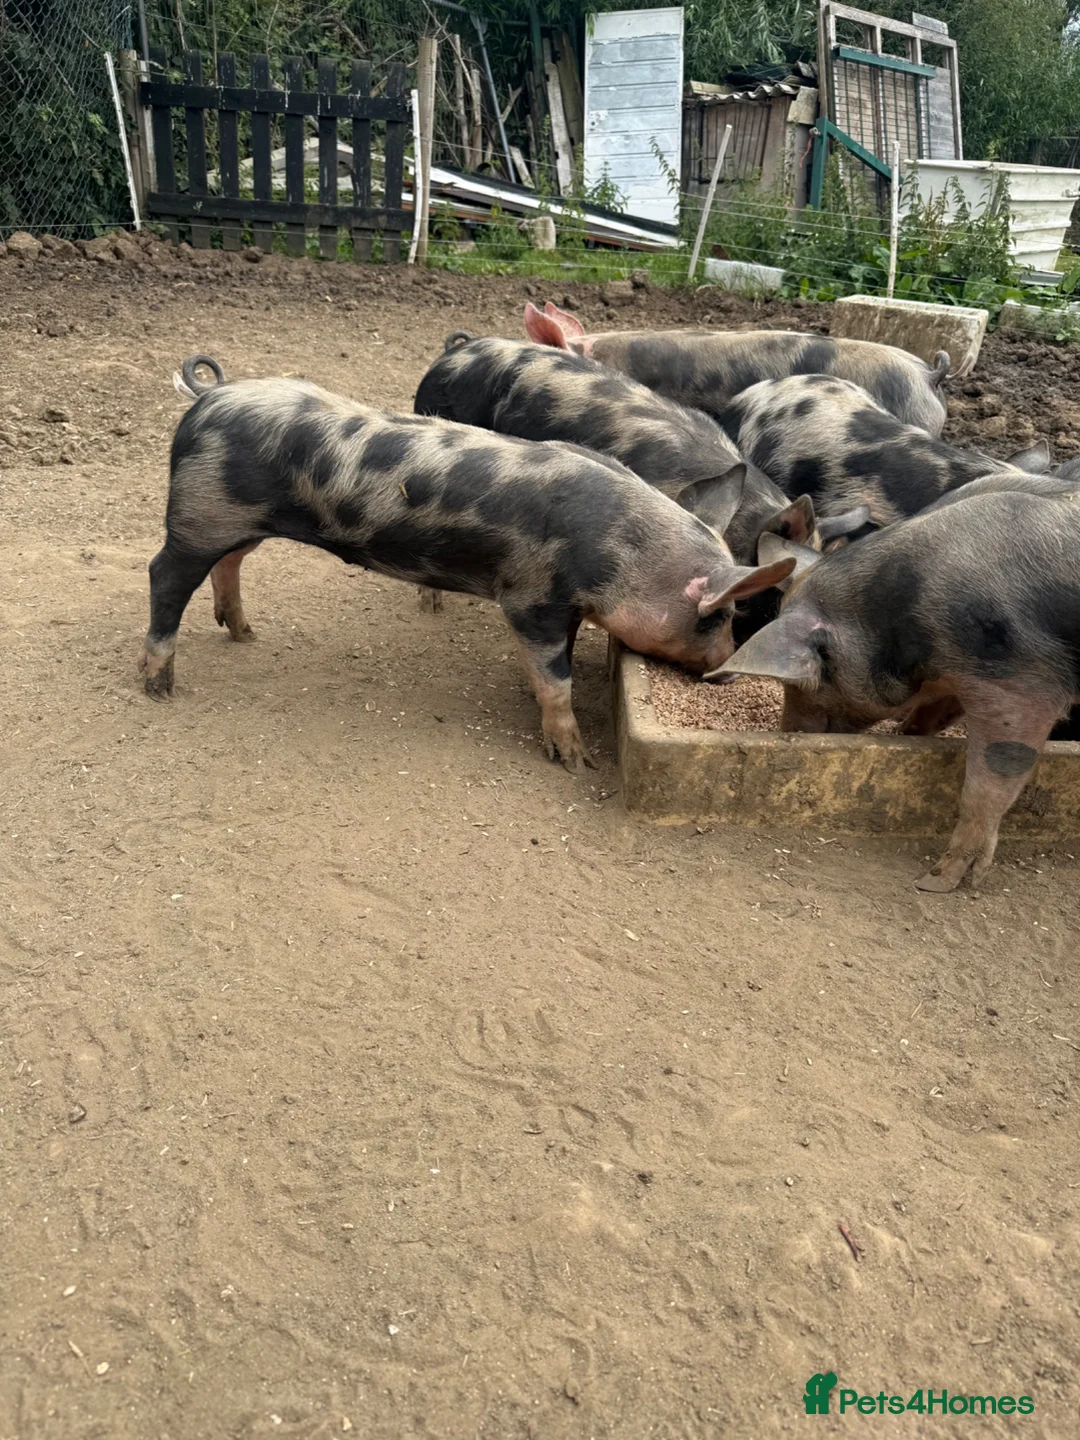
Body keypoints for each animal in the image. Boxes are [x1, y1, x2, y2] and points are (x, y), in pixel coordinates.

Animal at [142, 355, 794, 774]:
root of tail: (207, 399)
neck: (621, 550)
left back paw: (245, 633)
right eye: (718, 616)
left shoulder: (565, 603)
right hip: (199, 515)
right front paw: (576, 761)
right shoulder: (529, 597)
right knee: (165, 577)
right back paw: (159, 688)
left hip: (240, 523)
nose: (727, 674)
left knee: (229, 565)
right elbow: (555, 678)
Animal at [713, 493, 1080, 890]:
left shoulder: (1018, 681)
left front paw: (935, 882)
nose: (790, 732)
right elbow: (934, 714)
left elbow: (992, 775)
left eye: (802, 681)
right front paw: (906, 734)